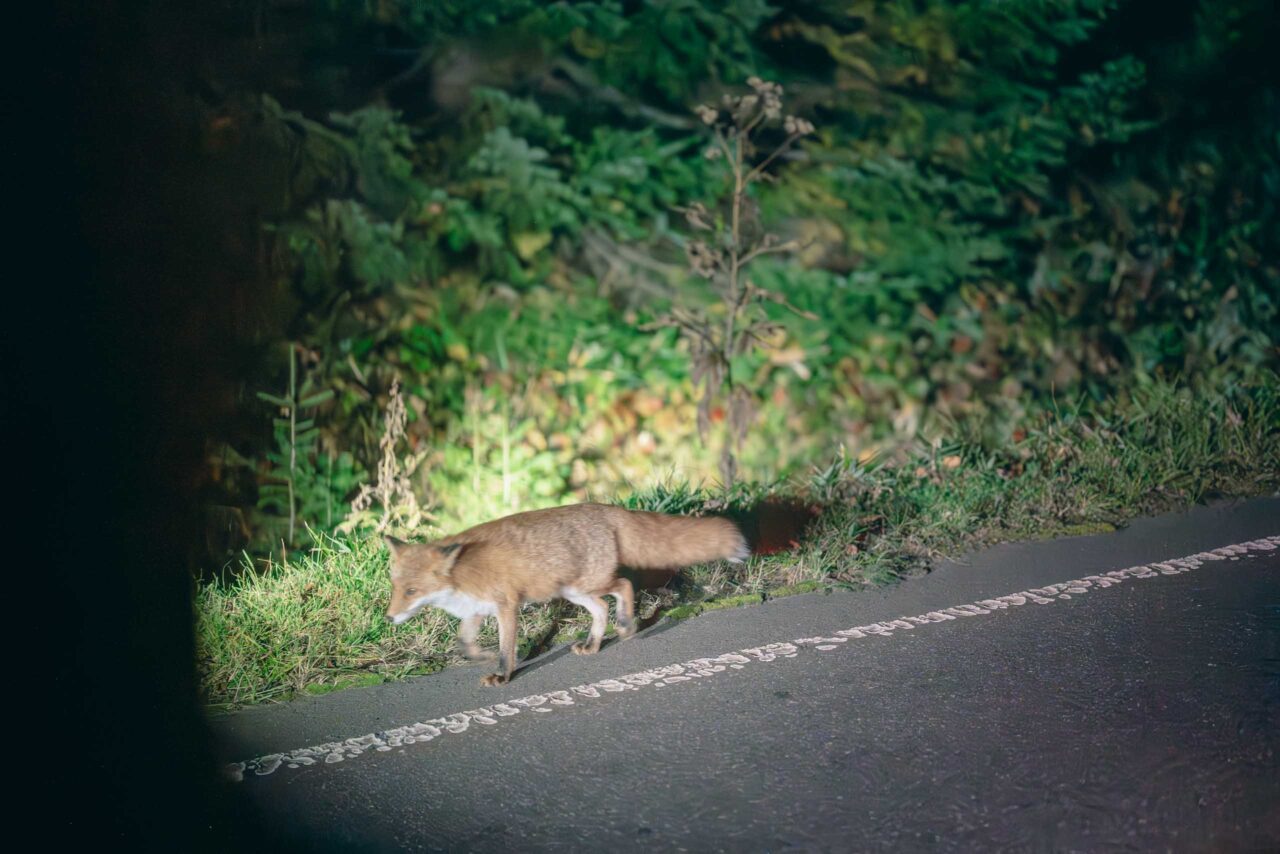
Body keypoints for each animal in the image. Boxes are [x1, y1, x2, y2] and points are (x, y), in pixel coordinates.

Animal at [378, 504, 747, 686]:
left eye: (412, 591)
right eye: (395, 587)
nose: (389, 617)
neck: (461, 574)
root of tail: (606, 506)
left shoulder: (506, 606)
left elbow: (505, 650)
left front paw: (503, 675)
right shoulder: (476, 611)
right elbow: (464, 643)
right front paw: (481, 657)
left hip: (589, 583)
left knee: (623, 587)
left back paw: (627, 624)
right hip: (574, 591)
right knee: (600, 610)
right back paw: (594, 644)